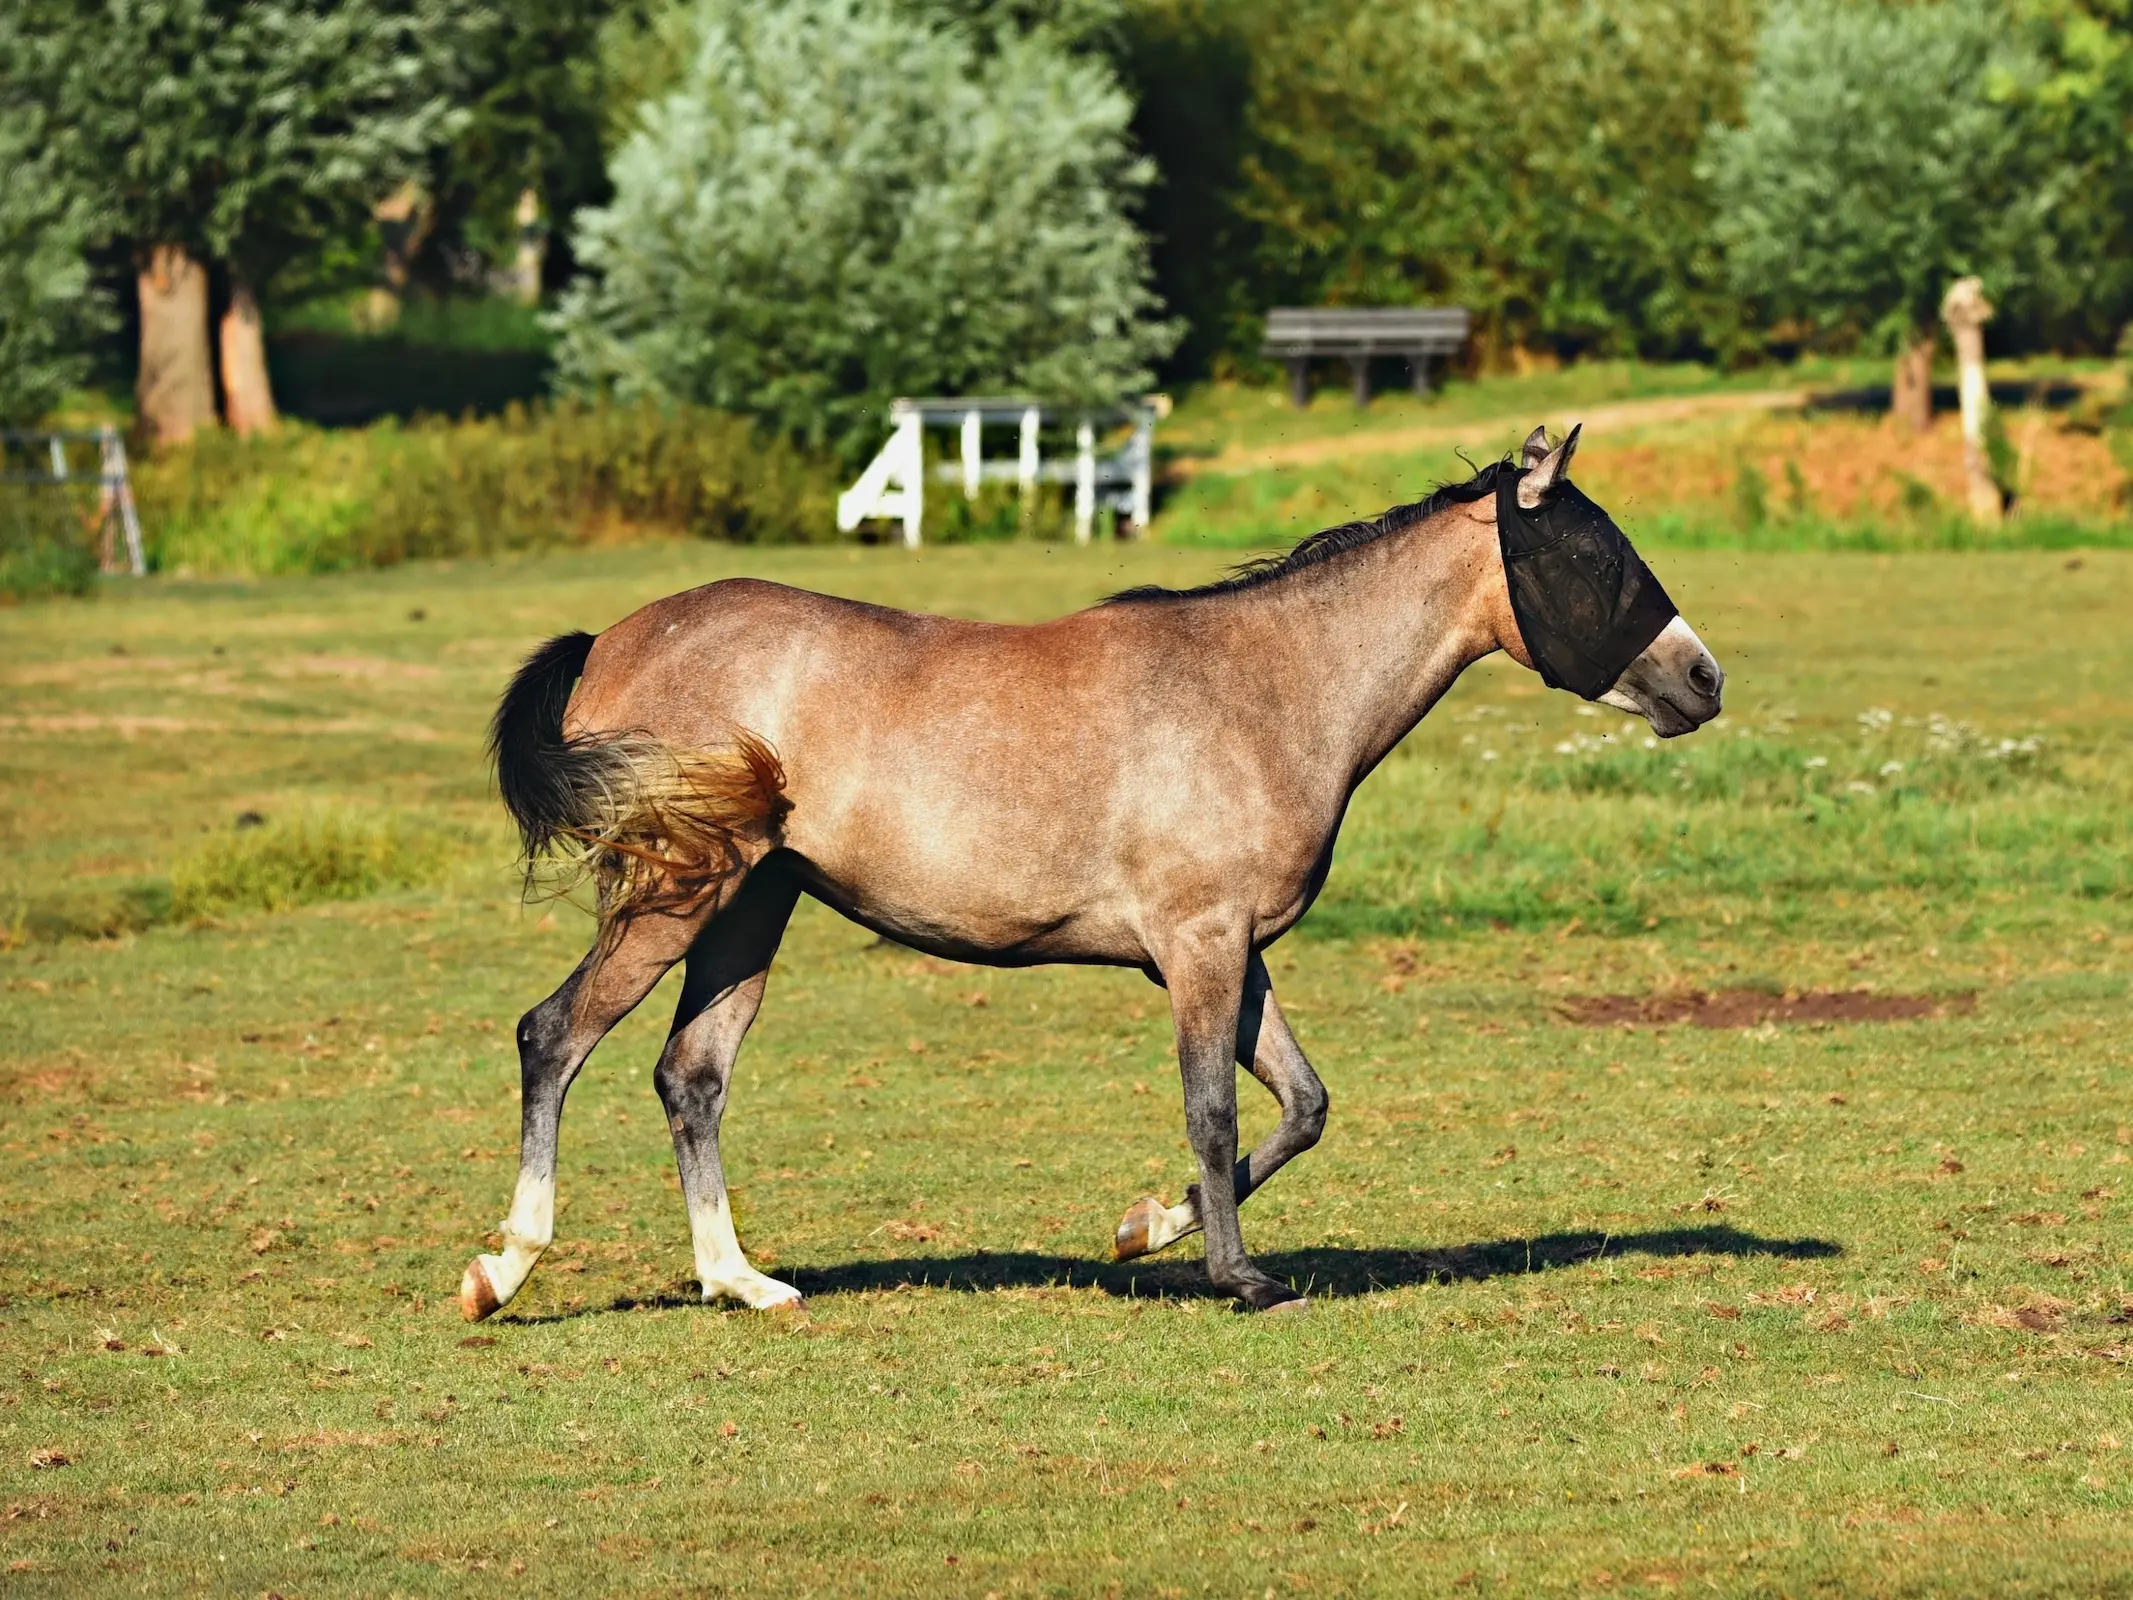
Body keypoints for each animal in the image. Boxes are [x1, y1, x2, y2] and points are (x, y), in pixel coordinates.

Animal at [458, 420, 1723, 1322]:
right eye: (1595, 555)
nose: (1703, 679)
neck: (1268, 685)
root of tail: (612, 639)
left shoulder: (1227, 950)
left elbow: (1302, 1106)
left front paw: (1148, 1226)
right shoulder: (1200, 947)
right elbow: (1214, 1106)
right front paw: (1238, 1277)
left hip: (748, 904)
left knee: (692, 1075)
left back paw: (740, 1280)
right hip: (679, 895)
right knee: (553, 1037)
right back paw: (505, 1269)